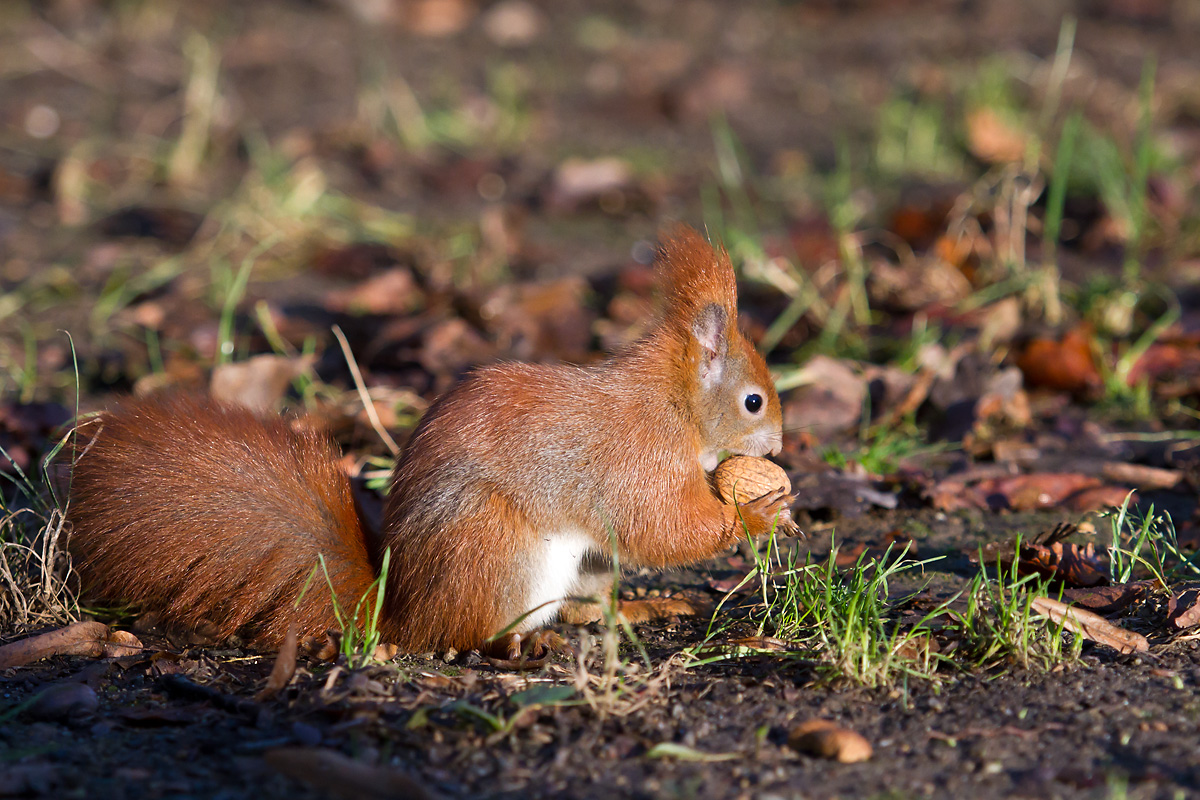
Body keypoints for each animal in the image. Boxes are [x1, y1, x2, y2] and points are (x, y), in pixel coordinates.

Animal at [68, 225, 796, 657]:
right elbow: (662, 527)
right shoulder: (636, 459)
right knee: (469, 634)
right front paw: (757, 514)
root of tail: (401, 615)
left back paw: (626, 609)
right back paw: (515, 646)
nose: (777, 448)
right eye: (753, 401)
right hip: (498, 552)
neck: (675, 404)